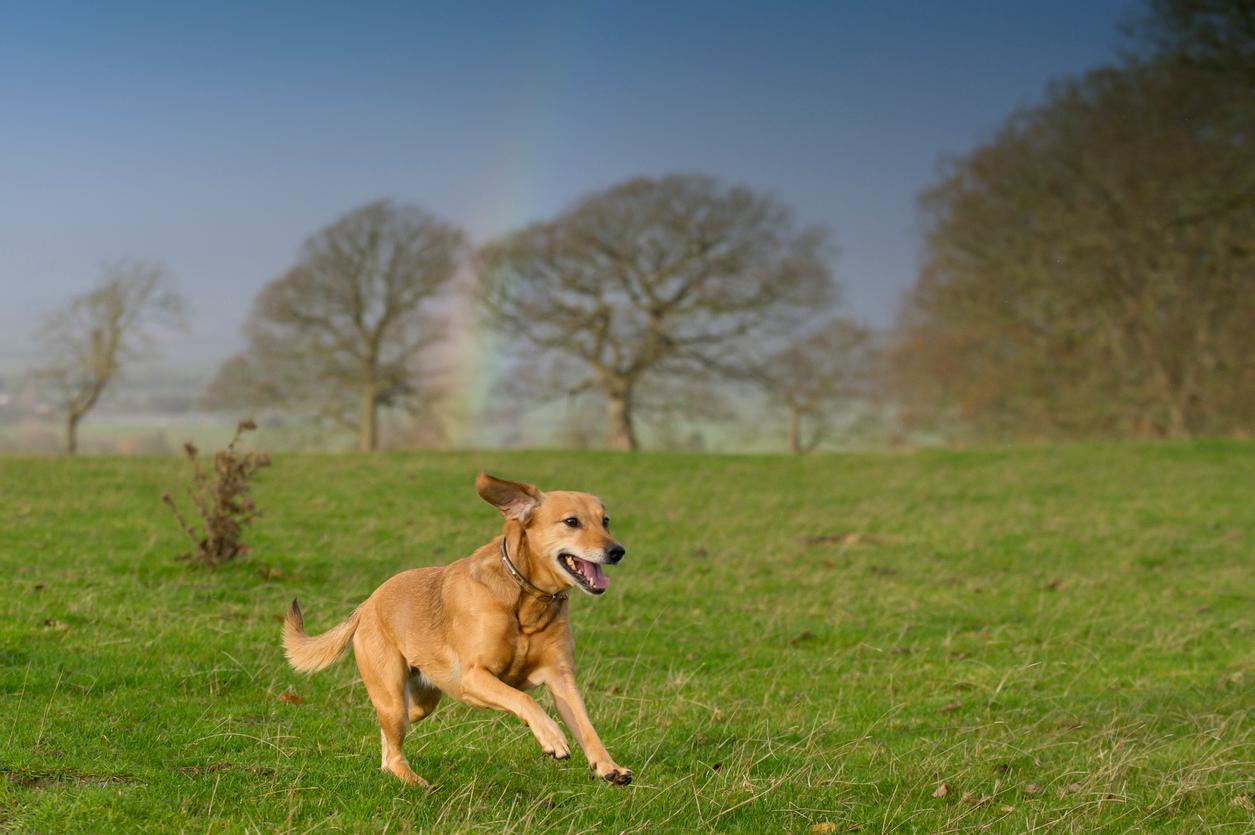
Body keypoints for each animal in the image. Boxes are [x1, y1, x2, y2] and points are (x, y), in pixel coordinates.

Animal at [287, 472, 637, 783]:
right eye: (571, 522)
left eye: (605, 521)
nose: (617, 551)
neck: (524, 598)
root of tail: (367, 605)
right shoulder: (473, 677)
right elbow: (526, 701)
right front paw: (552, 737)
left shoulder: (561, 679)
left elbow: (586, 725)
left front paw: (609, 766)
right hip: (392, 698)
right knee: (393, 745)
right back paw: (413, 780)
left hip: (419, 703)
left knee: (388, 742)